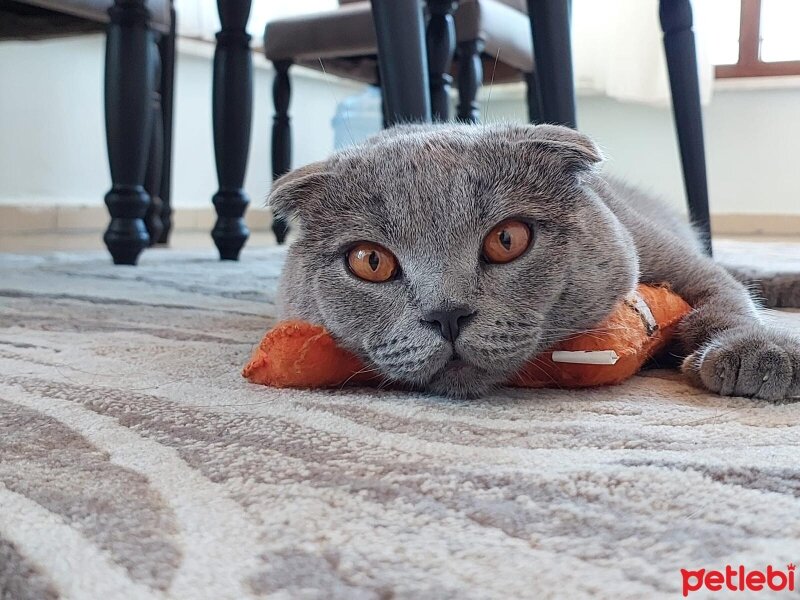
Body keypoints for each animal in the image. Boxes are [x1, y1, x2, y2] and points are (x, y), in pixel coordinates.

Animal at [270, 124, 800, 400]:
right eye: (370, 261)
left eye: (507, 239)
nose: (446, 314)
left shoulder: (673, 259)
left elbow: (725, 295)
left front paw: (758, 353)